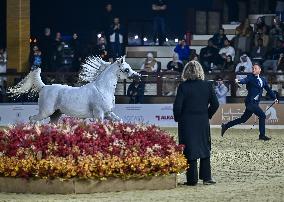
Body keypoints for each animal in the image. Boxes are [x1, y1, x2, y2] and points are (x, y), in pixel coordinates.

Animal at [7, 56, 139, 123]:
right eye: (126, 69)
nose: (138, 76)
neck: (102, 89)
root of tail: (44, 87)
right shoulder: (99, 114)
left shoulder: (108, 113)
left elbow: (119, 121)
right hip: (46, 112)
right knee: (32, 119)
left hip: (56, 114)